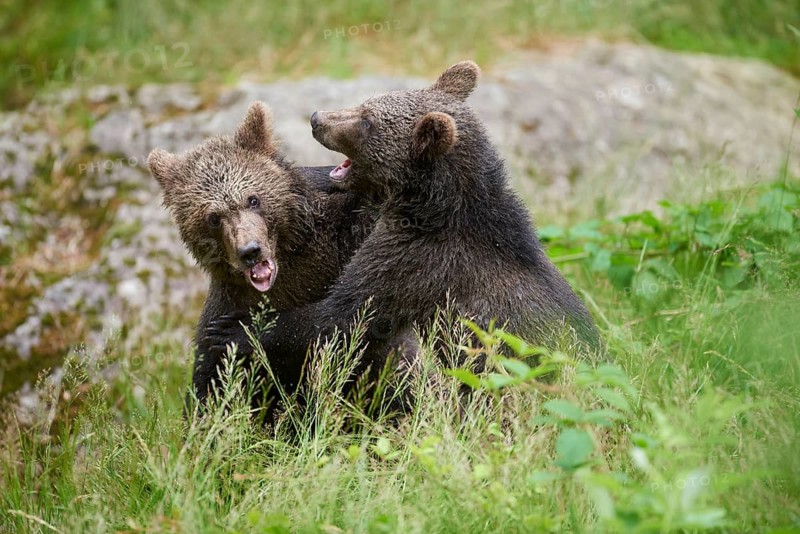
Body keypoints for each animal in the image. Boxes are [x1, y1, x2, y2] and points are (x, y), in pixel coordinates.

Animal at [147, 101, 377, 412]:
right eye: (213, 217)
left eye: (253, 199)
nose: (250, 251)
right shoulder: (225, 311)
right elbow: (210, 387)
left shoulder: (343, 241)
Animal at [204, 61, 601, 410]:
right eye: (366, 102)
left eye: (367, 121)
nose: (317, 118)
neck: (428, 208)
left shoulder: (415, 264)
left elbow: (343, 316)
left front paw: (234, 331)